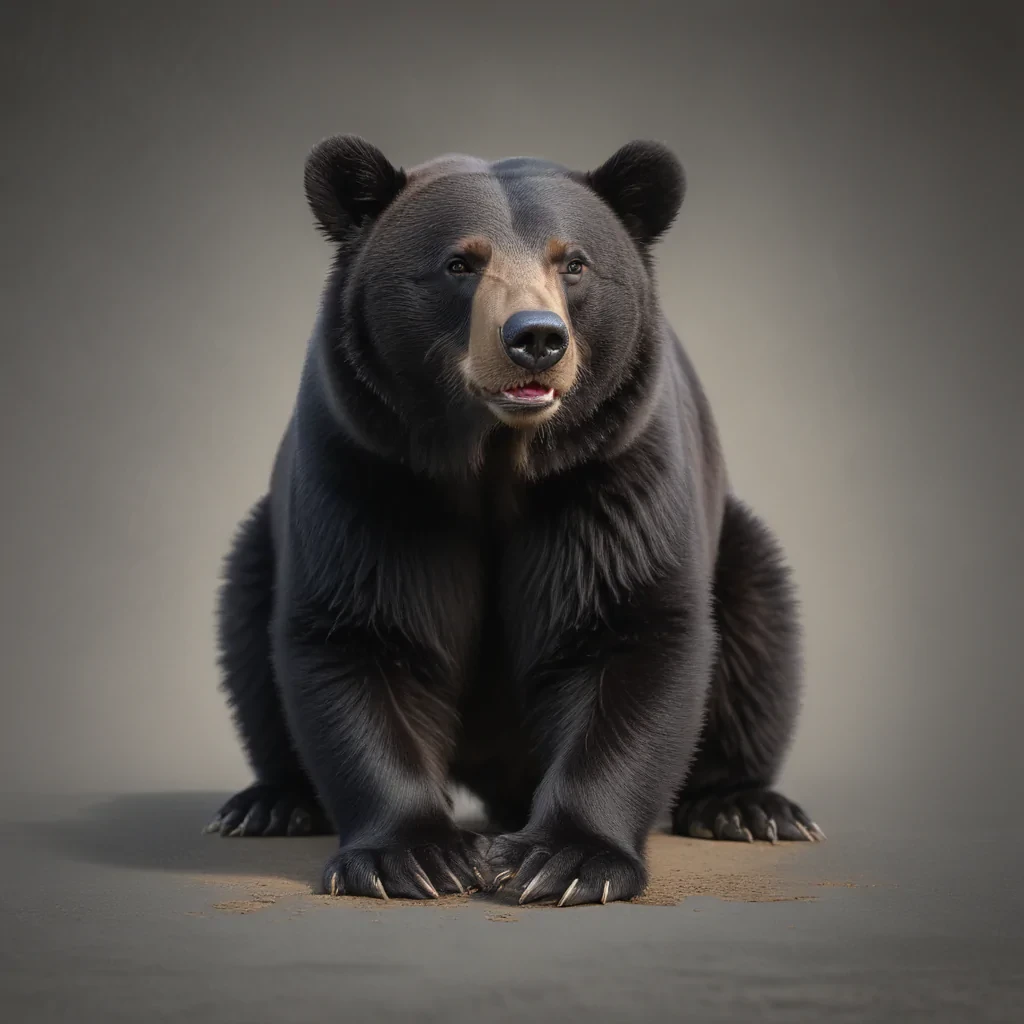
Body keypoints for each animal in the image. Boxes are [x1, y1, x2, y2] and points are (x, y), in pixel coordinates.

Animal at [204, 134, 824, 907]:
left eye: (575, 262)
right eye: (460, 262)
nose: (536, 338)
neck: (495, 461)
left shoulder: (611, 471)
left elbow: (632, 627)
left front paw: (565, 860)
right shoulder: (371, 466)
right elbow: (359, 628)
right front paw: (412, 856)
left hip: (735, 546)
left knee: (758, 626)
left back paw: (747, 806)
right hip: (266, 540)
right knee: (247, 617)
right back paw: (271, 801)